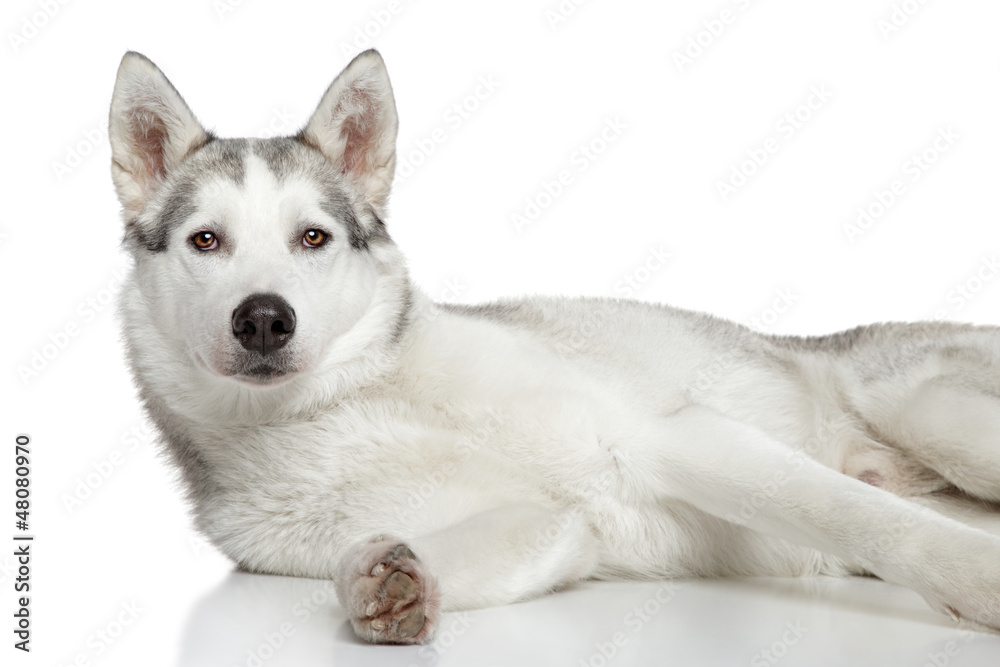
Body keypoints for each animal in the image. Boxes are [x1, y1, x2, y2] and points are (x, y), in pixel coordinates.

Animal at [109, 49, 1000, 644]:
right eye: (207, 240)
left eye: (313, 237)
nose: (263, 318)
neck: (353, 401)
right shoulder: (558, 529)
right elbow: (387, 567)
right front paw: (387, 585)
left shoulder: (676, 434)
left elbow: (864, 519)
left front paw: (977, 583)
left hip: (938, 416)